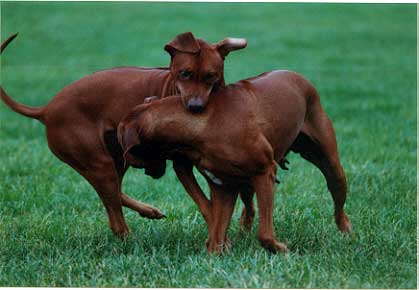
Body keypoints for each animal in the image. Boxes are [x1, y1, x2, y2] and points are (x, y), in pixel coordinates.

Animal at [0, 31, 248, 236]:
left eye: (211, 76)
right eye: (184, 73)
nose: (195, 107)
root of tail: (46, 109)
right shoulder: (182, 165)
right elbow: (206, 204)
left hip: (117, 158)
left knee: (113, 195)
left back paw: (148, 211)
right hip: (100, 163)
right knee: (115, 217)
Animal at [119, 69, 354, 253]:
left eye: (130, 152)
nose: (150, 172)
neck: (201, 125)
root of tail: (298, 76)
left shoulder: (264, 173)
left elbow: (264, 234)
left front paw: (279, 248)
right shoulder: (224, 187)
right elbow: (216, 234)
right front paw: (216, 254)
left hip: (331, 165)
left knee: (337, 198)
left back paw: (346, 230)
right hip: (246, 184)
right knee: (249, 205)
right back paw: (243, 229)